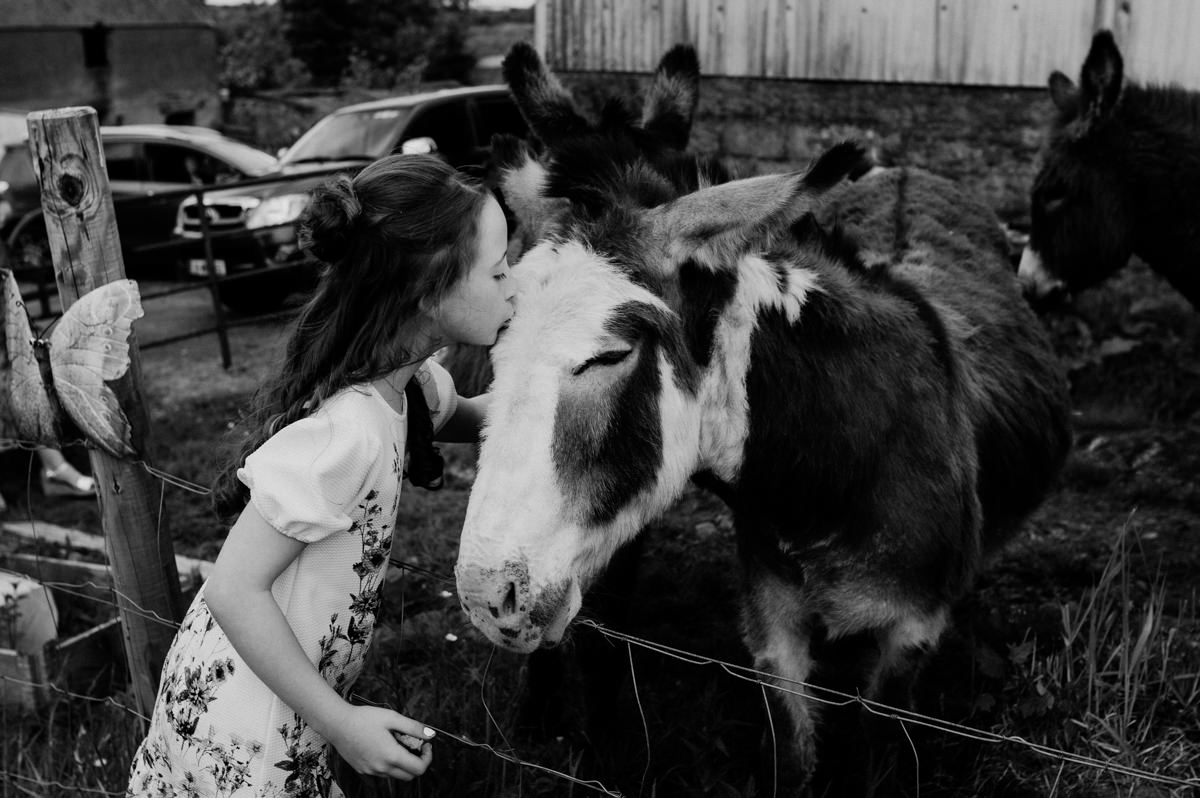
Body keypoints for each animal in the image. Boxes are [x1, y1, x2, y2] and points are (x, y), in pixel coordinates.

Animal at [455, 45, 1072, 795]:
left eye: (611, 355)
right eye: (496, 349)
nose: (484, 594)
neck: (834, 466)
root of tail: (907, 172)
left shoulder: (910, 632)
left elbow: (879, 750)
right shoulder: (773, 622)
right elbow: (795, 754)